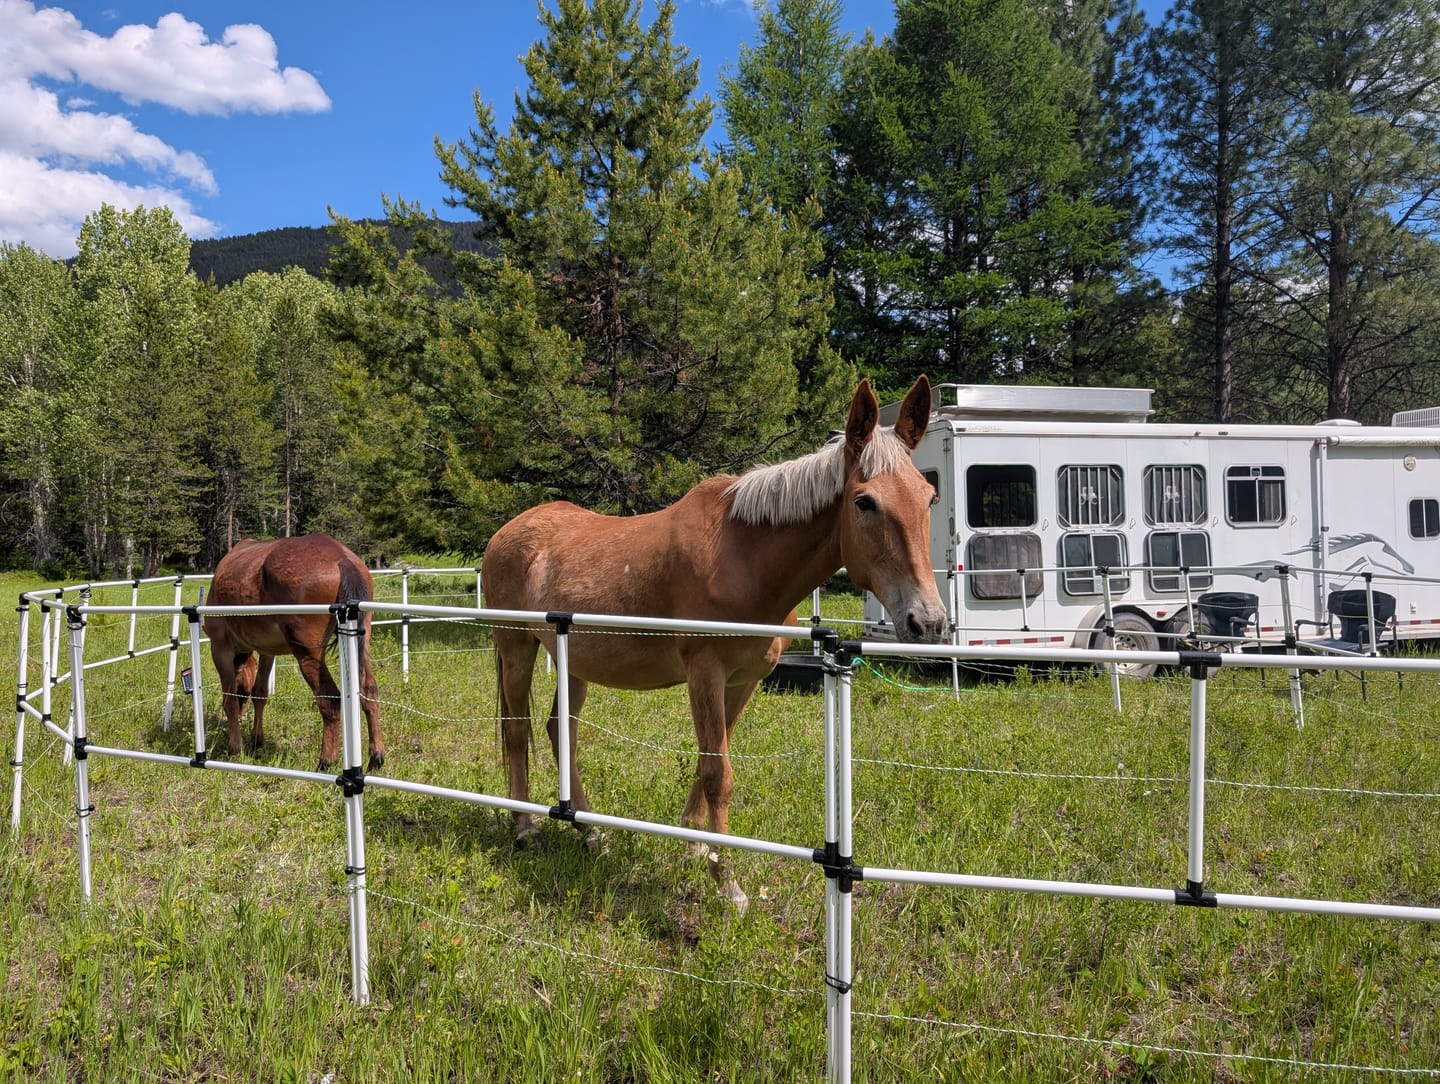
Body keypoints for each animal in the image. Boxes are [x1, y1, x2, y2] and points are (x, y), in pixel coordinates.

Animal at [204, 534, 384, 771]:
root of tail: (342, 559)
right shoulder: (266, 651)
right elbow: (260, 693)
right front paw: (256, 740)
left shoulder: (220, 647)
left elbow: (230, 699)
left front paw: (236, 747)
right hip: (361, 641)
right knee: (369, 689)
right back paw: (376, 756)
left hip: (308, 655)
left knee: (330, 699)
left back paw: (326, 761)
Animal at [481, 375, 947, 910]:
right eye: (864, 502)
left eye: (929, 497)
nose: (928, 622)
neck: (744, 556)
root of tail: (505, 533)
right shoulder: (704, 672)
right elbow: (716, 774)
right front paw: (727, 884)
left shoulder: (742, 681)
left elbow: (712, 761)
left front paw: (695, 846)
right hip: (516, 646)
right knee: (518, 731)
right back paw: (525, 828)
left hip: (573, 660)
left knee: (561, 731)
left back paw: (591, 833)